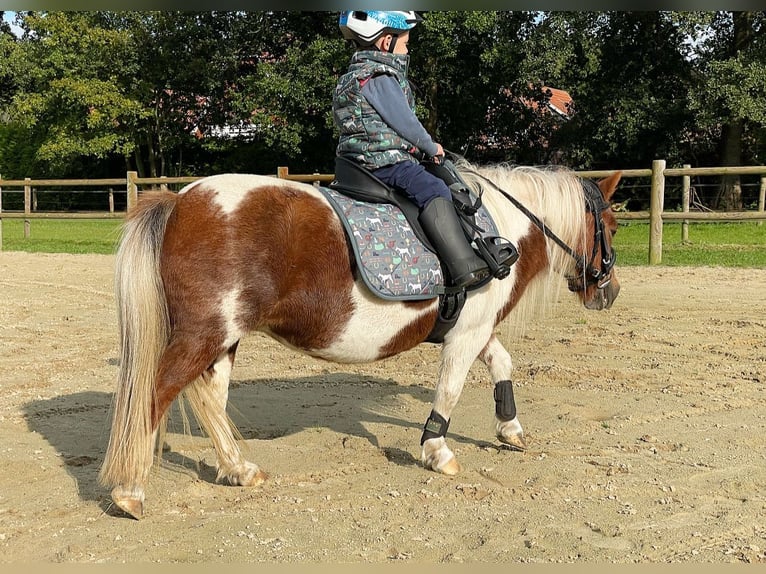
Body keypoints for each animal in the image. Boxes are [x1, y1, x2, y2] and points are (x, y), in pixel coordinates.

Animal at [99, 162, 620, 520]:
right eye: (612, 227)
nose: (610, 292)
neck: (492, 231)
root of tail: (181, 201)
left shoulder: (473, 328)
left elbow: (502, 363)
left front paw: (510, 429)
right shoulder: (467, 334)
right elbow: (450, 390)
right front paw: (437, 451)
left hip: (223, 339)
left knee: (210, 400)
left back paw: (238, 469)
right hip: (204, 335)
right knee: (155, 395)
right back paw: (129, 491)